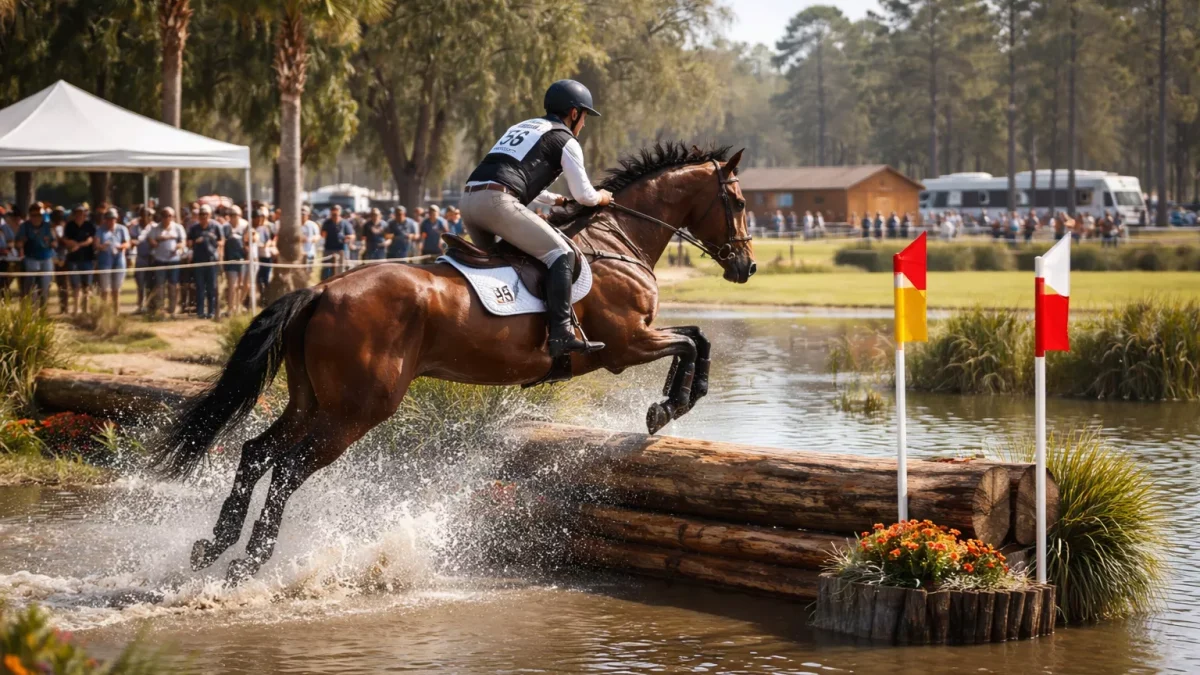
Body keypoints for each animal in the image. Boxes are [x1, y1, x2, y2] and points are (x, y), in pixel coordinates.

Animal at [149, 142, 756, 582]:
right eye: (740, 202)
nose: (746, 267)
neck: (620, 239)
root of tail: (320, 290)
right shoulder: (628, 343)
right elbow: (692, 342)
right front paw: (671, 406)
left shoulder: (639, 338)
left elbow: (696, 336)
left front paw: (673, 403)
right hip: (356, 411)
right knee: (288, 469)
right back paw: (252, 558)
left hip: (312, 399)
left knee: (257, 452)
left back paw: (213, 545)